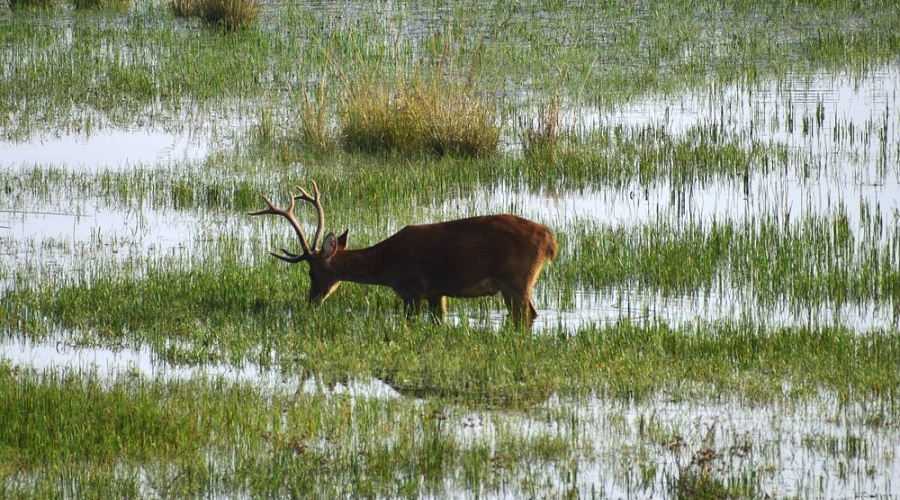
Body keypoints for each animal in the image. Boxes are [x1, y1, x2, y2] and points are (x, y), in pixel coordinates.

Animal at [248, 182, 556, 326]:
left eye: (312, 272)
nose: (311, 301)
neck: (387, 266)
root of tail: (549, 239)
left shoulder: (413, 288)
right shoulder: (436, 292)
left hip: (517, 278)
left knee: (525, 314)